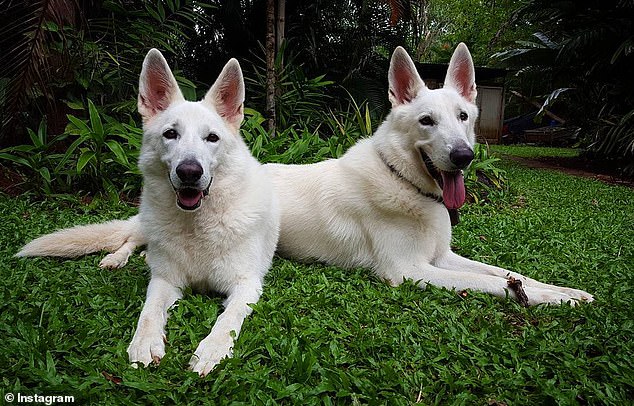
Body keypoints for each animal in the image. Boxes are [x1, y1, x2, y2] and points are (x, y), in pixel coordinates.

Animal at [19, 49, 278, 376]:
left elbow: (227, 320)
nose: (189, 172)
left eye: (212, 138)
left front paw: (212, 349)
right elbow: (149, 311)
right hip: (147, 222)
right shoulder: (164, 282)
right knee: (130, 239)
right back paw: (117, 258)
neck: (195, 224)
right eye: (171, 134)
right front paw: (144, 343)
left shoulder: (246, 285)